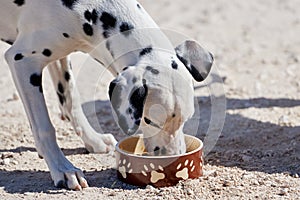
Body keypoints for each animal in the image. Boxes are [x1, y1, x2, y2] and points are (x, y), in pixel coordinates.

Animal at [1, 0, 213, 190]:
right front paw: (62, 169)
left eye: (185, 120)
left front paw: (92, 140)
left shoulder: (60, 56)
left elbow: (71, 100)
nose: (172, 159)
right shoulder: (23, 61)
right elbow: (44, 128)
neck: (88, 9)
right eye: (150, 121)